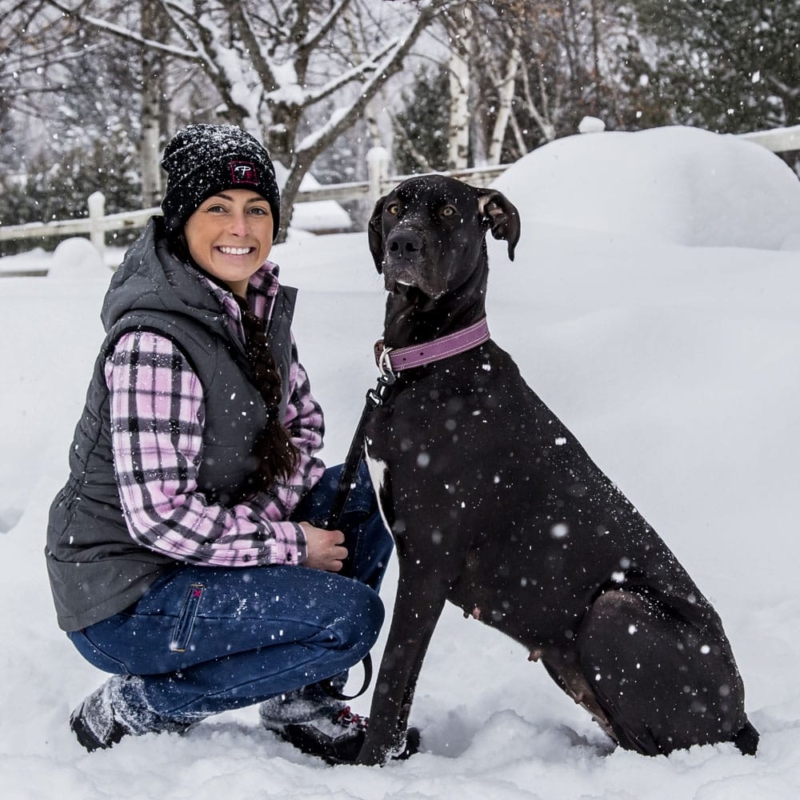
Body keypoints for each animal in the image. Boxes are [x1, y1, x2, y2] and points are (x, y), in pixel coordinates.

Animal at [356, 173, 756, 764]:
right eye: (394, 208)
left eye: (449, 210)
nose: (403, 243)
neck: (430, 360)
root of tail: (742, 717)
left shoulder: (428, 562)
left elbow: (391, 683)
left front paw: (367, 765)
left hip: (616, 609)